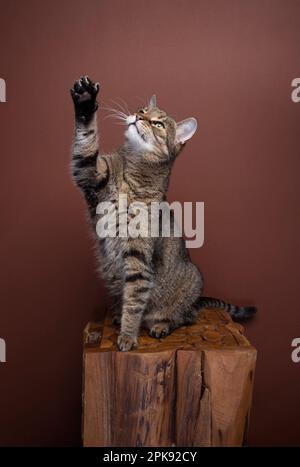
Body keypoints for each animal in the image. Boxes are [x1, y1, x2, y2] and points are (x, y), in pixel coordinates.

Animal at [70, 76, 255, 352]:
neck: (133, 171)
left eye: (157, 123)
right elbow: (86, 143)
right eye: (142, 110)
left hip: (191, 282)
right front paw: (85, 100)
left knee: (186, 318)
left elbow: (134, 301)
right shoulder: (90, 174)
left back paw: (161, 325)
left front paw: (127, 336)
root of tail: (196, 301)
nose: (138, 116)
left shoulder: (138, 258)